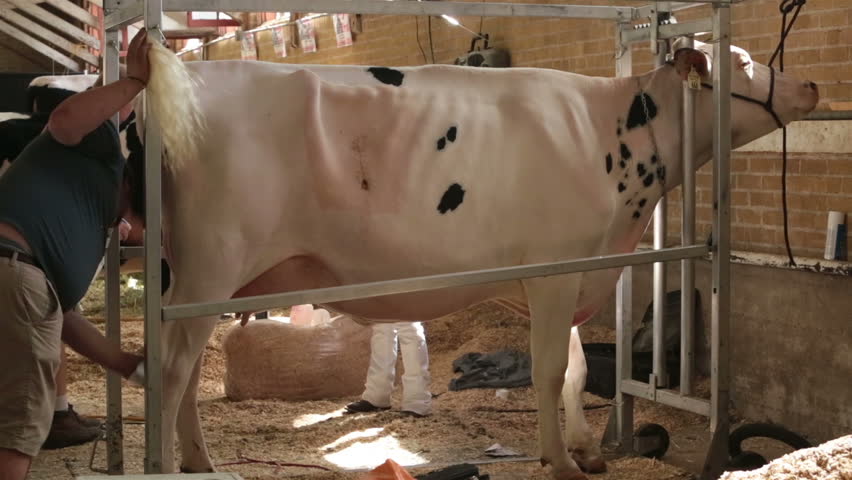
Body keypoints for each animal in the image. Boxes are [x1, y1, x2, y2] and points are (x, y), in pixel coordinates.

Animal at [132, 37, 818, 479]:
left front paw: (588, 451)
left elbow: (573, 370)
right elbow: (548, 372)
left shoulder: (569, 272)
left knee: (184, 370)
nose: (811, 84)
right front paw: (561, 462)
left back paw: (199, 461)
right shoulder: (553, 270)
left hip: (205, 282)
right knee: (169, 369)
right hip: (209, 267)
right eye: (745, 61)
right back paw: (179, 464)